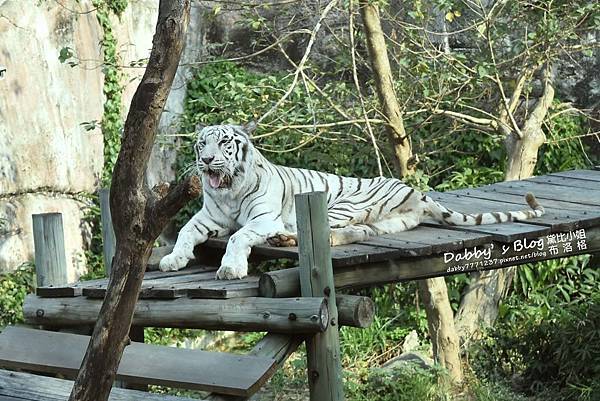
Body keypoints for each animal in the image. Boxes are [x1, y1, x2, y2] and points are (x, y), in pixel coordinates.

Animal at [159, 124, 544, 278]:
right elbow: (185, 232)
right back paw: (286, 240)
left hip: (340, 203)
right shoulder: (209, 217)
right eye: (202, 144)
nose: (206, 160)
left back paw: (283, 238)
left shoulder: (262, 217)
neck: (229, 188)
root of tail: (414, 191)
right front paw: (173, 259)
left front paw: (231, 268)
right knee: (352, 234)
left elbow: (238, 236)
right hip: (381, 222)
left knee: (326, 232)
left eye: (223, 143)